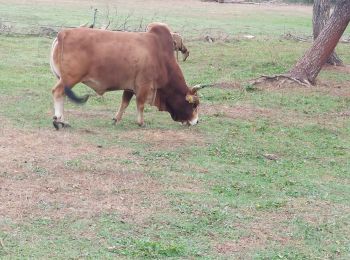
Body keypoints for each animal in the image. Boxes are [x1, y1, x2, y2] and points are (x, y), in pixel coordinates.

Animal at [50, 22, 202, 129]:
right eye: (194, 105)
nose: (196, 121)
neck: (160, 55)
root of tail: (63, 33)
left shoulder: (130, 87)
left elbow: (125, 103)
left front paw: (116, 119)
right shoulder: (144, 85)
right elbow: (140, 104)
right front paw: (141, 122)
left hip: (63, 79)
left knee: (62, 95)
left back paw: (62, 120)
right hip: (69, 79)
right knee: (57, 92)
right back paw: (59, 120)